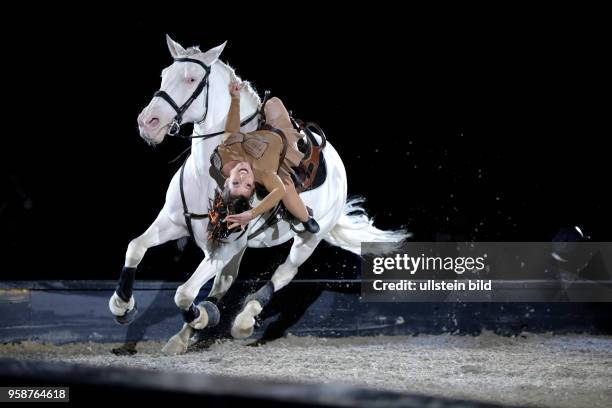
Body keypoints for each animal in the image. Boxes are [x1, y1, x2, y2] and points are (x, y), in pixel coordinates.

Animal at [107, 35, 408, 354]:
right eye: (164, 75)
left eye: (191, 79)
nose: (148, 122)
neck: (210, 174)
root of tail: (337, 165)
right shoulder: (173, 223)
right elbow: (136, 248)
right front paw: (122, 306)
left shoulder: (225, 245)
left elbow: (184, 293)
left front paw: (201, 317)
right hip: (237, 248)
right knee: (224, 282)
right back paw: (187, 333)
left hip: (307, 240)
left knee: (283, 274)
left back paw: (242, 321)